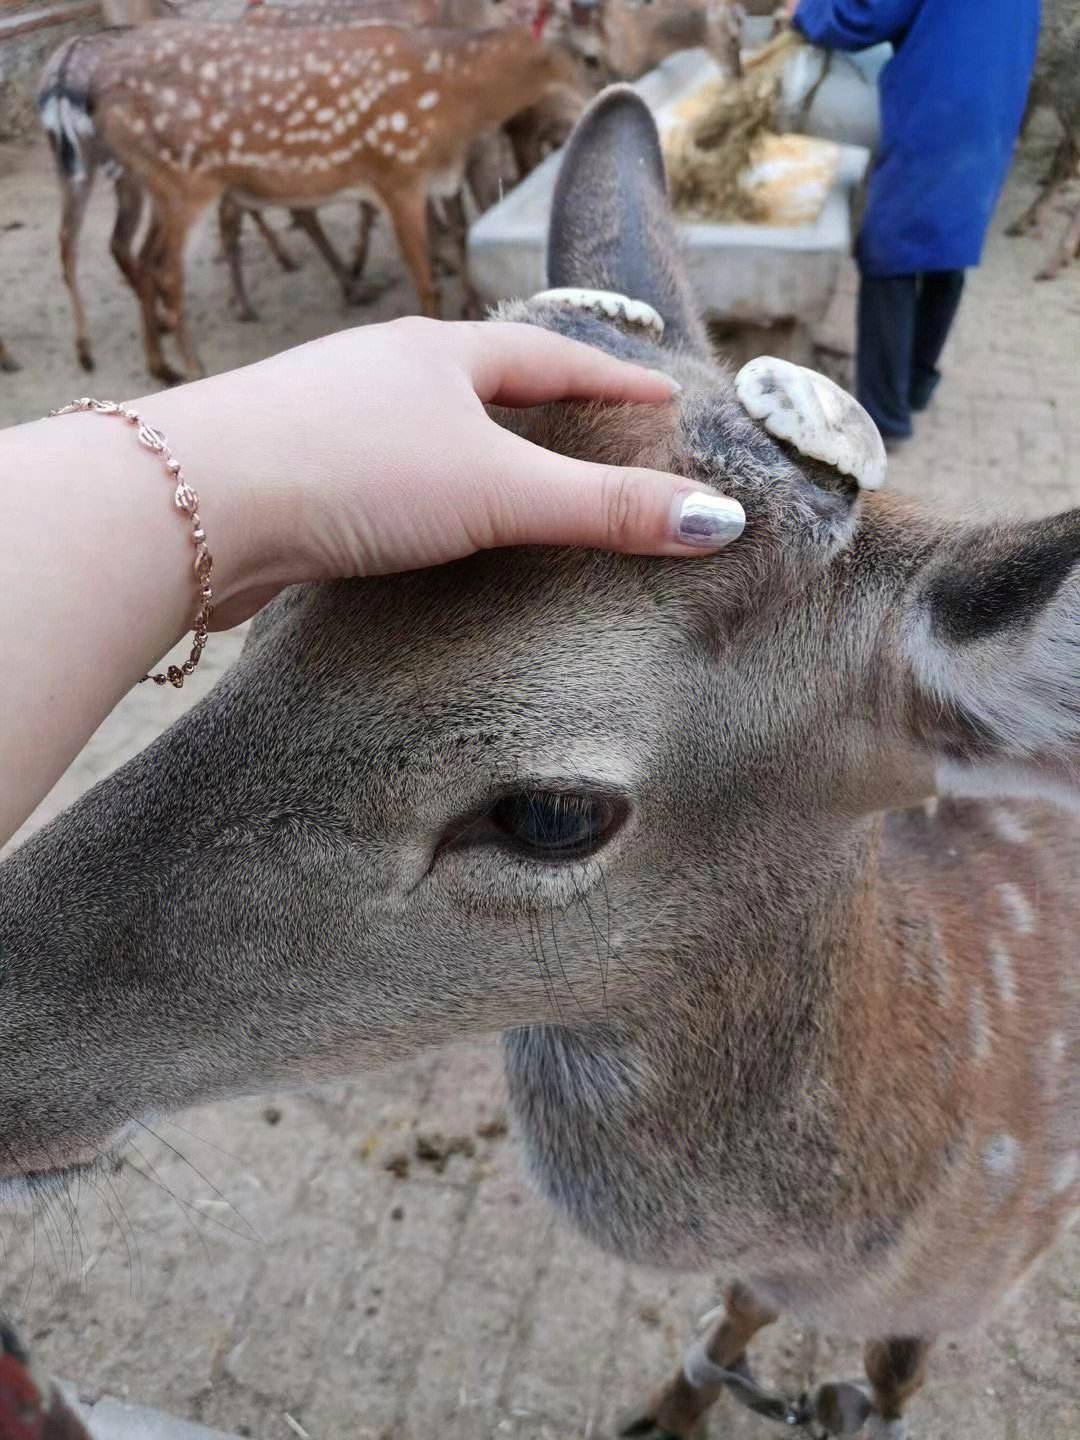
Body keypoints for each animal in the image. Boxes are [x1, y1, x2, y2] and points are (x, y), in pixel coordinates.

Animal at [1, 86, 1077, 1440]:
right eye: (270, 609)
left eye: (555, 813)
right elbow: (728, 1328)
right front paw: (669, 1406)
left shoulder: (981, 1274)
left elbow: (886, 1377)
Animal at [45, 17, 585, 381]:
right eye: (588, 55)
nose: (595, 95)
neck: (455, 100)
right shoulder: (396, 172)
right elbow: (427, 280)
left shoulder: (435, 180)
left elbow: (453, 236)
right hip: (182, 180)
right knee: (160, 268)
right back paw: (192, 366)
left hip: (153, 183)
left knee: (133, 253)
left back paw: (160, 362)